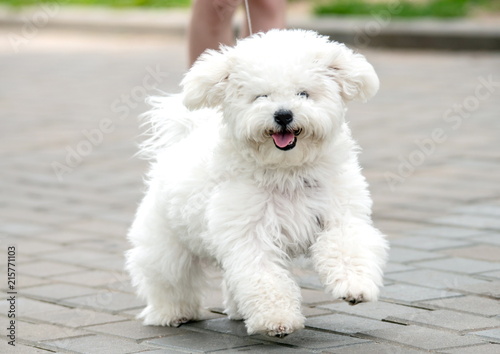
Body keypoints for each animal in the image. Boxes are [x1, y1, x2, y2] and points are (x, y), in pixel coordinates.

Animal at [126, 29, 390, 338]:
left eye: (303, 93)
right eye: (261, 96)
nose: (283, 114)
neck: (287, 171)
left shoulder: (340, 215)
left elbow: (347, 246)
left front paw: (354, 285)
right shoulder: (250, 234)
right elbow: (264, 276)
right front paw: (277, 319)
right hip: (166, 242)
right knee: (168, 277)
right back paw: (172, 313)